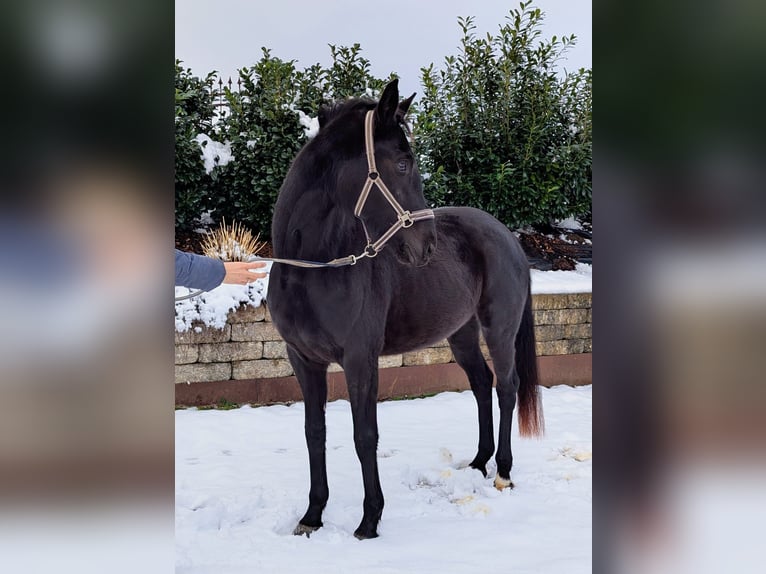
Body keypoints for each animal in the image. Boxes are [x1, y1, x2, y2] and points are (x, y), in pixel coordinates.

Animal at [270, 79, 544, 544]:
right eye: (401, 163)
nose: (426, 246)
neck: (313, 269)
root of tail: (506, 235)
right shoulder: (303, 359)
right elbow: (314, 433)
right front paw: (312, 515)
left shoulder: (360, 359)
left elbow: (365, 435)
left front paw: (369, 521)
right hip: (462, 333)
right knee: (481, 383)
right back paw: (479, 461)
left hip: (499, 329)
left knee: (507, 386)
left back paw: (503, 472)